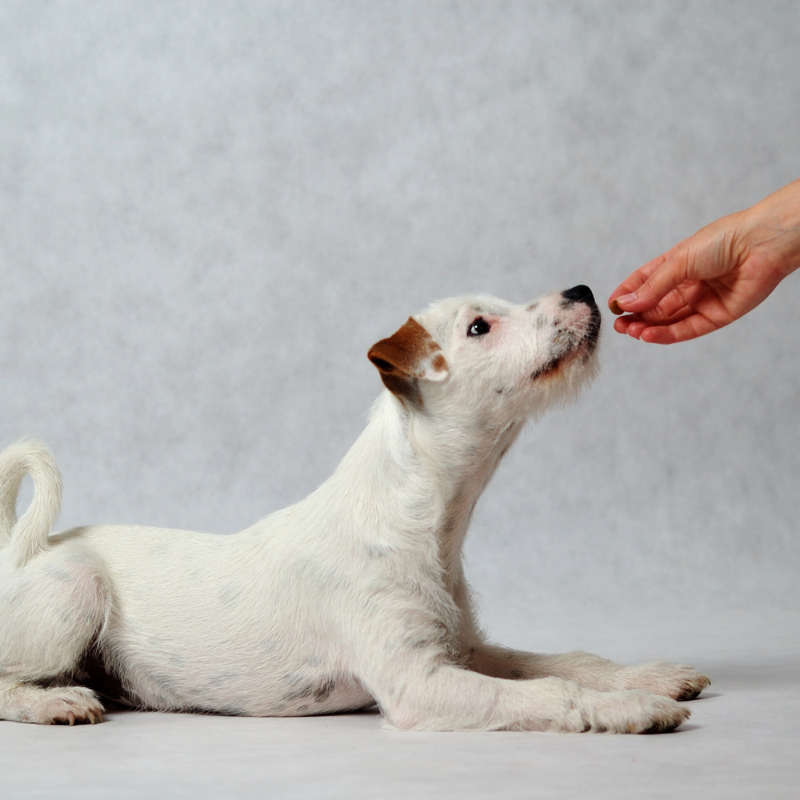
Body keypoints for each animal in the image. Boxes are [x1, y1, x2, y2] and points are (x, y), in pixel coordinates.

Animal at [0, 288, 708, 732]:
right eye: (479, 327)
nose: (583, 289)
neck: (421, 523)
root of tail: (20, 553)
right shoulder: (419, 682)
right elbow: (553, 690)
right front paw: (630, 710)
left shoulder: (461, 649)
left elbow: (571, 664)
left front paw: (649, 678)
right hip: (76, 591)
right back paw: (56, 702)